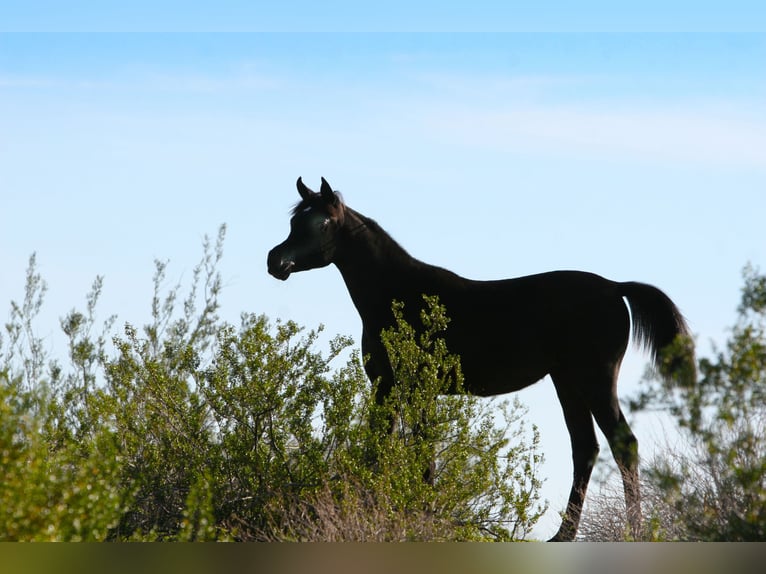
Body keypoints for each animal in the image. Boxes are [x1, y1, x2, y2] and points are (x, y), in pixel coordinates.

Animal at [267, 177, 695, 541]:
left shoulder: (419, 388)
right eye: (293, 221)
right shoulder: (386, 385)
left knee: (623, 445)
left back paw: (632, 531)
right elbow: (382, 446)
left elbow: (422, 452)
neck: (399, 297)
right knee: (585, 448)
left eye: (322, 223)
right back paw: (564, 534)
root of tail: (615, 287)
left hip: (595, 380)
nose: (276, 261)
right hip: (568, 382)